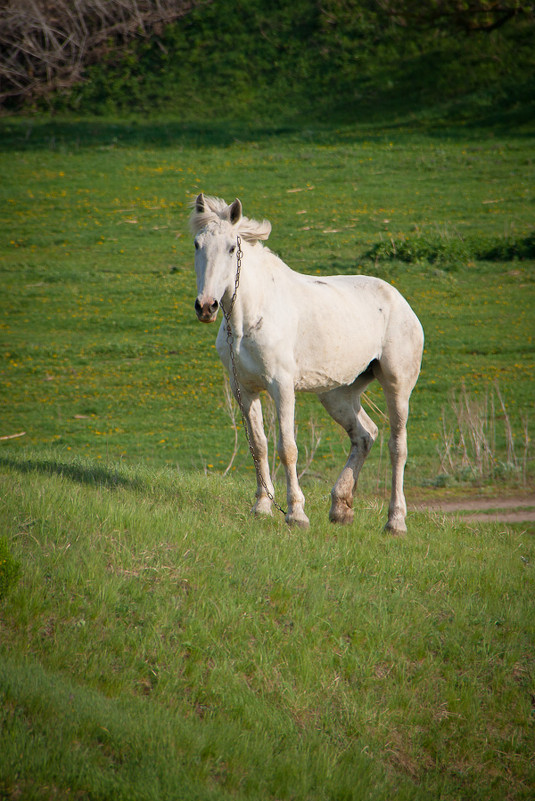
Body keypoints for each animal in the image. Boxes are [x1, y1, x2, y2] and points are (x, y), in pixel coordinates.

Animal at [191, 193, 426, 532]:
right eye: (197, 244)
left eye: (231, 248)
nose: (206, 306)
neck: (251, 315)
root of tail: (401, 302)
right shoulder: (245, 390)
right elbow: (259, 445)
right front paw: (262, 507)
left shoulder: (282, 387)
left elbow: (287, 448)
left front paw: (296, 514)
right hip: (337, 394)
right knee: (364, 435)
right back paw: (341, 508)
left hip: (397, 385)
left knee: (398, 447)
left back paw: (395, 521)